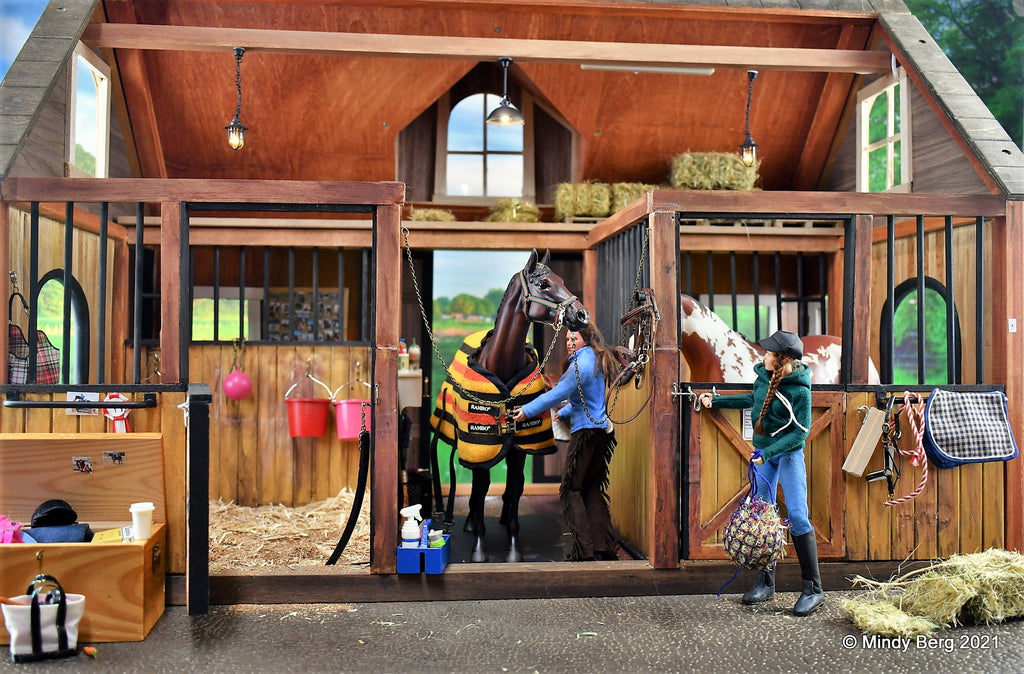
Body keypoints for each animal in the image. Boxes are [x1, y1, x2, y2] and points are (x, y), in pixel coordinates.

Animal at [428, 246, 589, 561]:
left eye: (562, 280)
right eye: (543, 284)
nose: (581, 314)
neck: (501, 365)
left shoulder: (520, 448)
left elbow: (514, 490)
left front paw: (513, 549)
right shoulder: (479, 447)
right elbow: (480, 491)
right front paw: (479, 547)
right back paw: (469, 523)